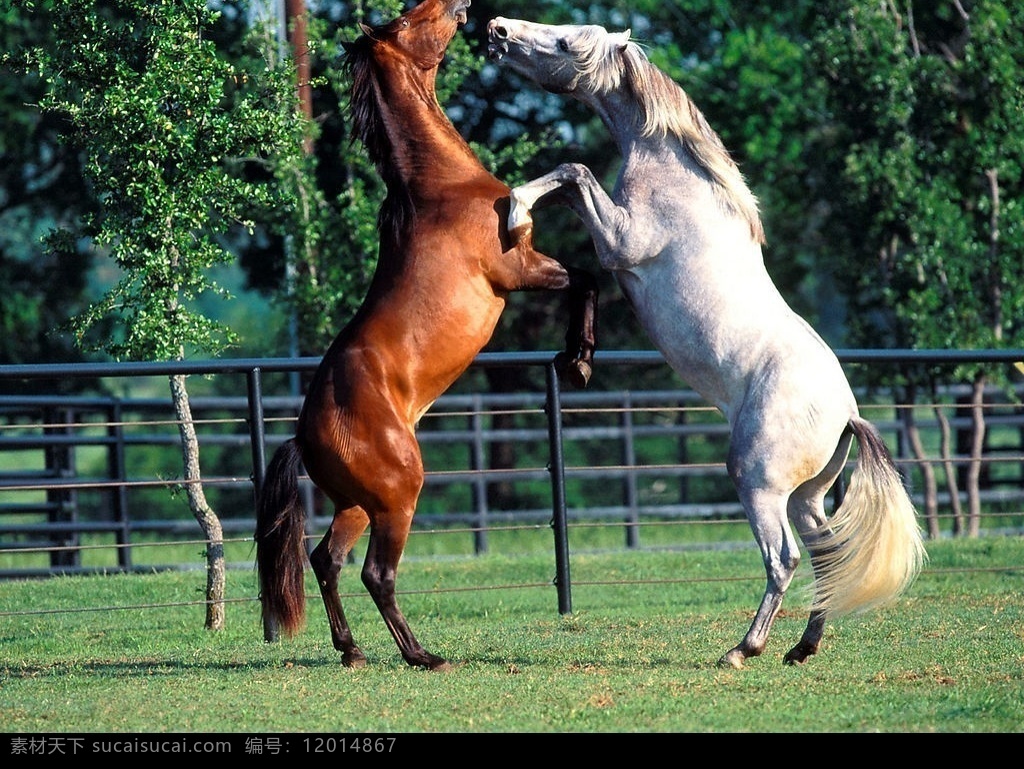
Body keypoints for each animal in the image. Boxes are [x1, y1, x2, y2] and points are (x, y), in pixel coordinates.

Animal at [250, 0, 598, 671]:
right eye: (406, 20)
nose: (459, 7)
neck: (441, 187)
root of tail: (304, 435)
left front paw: (578, 357)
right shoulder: (519, 269)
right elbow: (586, 272)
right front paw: (578, 358)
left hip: (358, 504)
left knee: (326, 561)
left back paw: (353, 652)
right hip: (398, 497)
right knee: (375, 574)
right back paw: (422, 655)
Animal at [487, 16, 929, 667]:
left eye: (566, 43)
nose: (496, 30)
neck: (678, 175)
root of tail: (847, 413)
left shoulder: (620, 240)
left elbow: (573, 173)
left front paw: (515, 209)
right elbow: (569, 179)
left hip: (758, 482)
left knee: (784, 559)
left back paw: (744, 649)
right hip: (806, 496)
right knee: (825, 553)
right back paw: (802, 648)